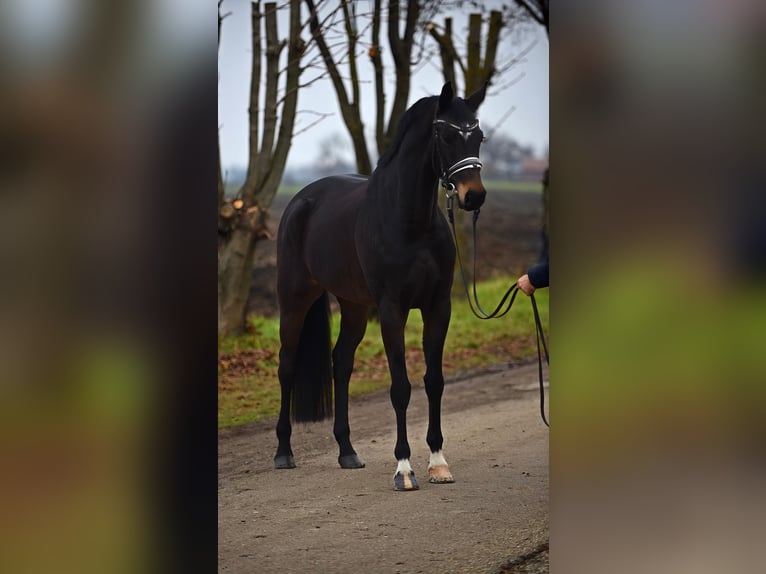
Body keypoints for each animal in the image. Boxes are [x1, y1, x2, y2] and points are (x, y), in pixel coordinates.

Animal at [272, 83, 486, 492]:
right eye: (447, 136)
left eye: (479, 136)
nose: (474, 196)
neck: (410, 222)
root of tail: (300, 201)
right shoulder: (391, 310)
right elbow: (400, 387)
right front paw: (404, 469)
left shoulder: (438, 307)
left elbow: (434, 381)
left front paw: (438, 463)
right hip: (293, 301)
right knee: (287, 366)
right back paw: (283, 453)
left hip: (353, 306)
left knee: (341, 362)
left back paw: (347, 452)